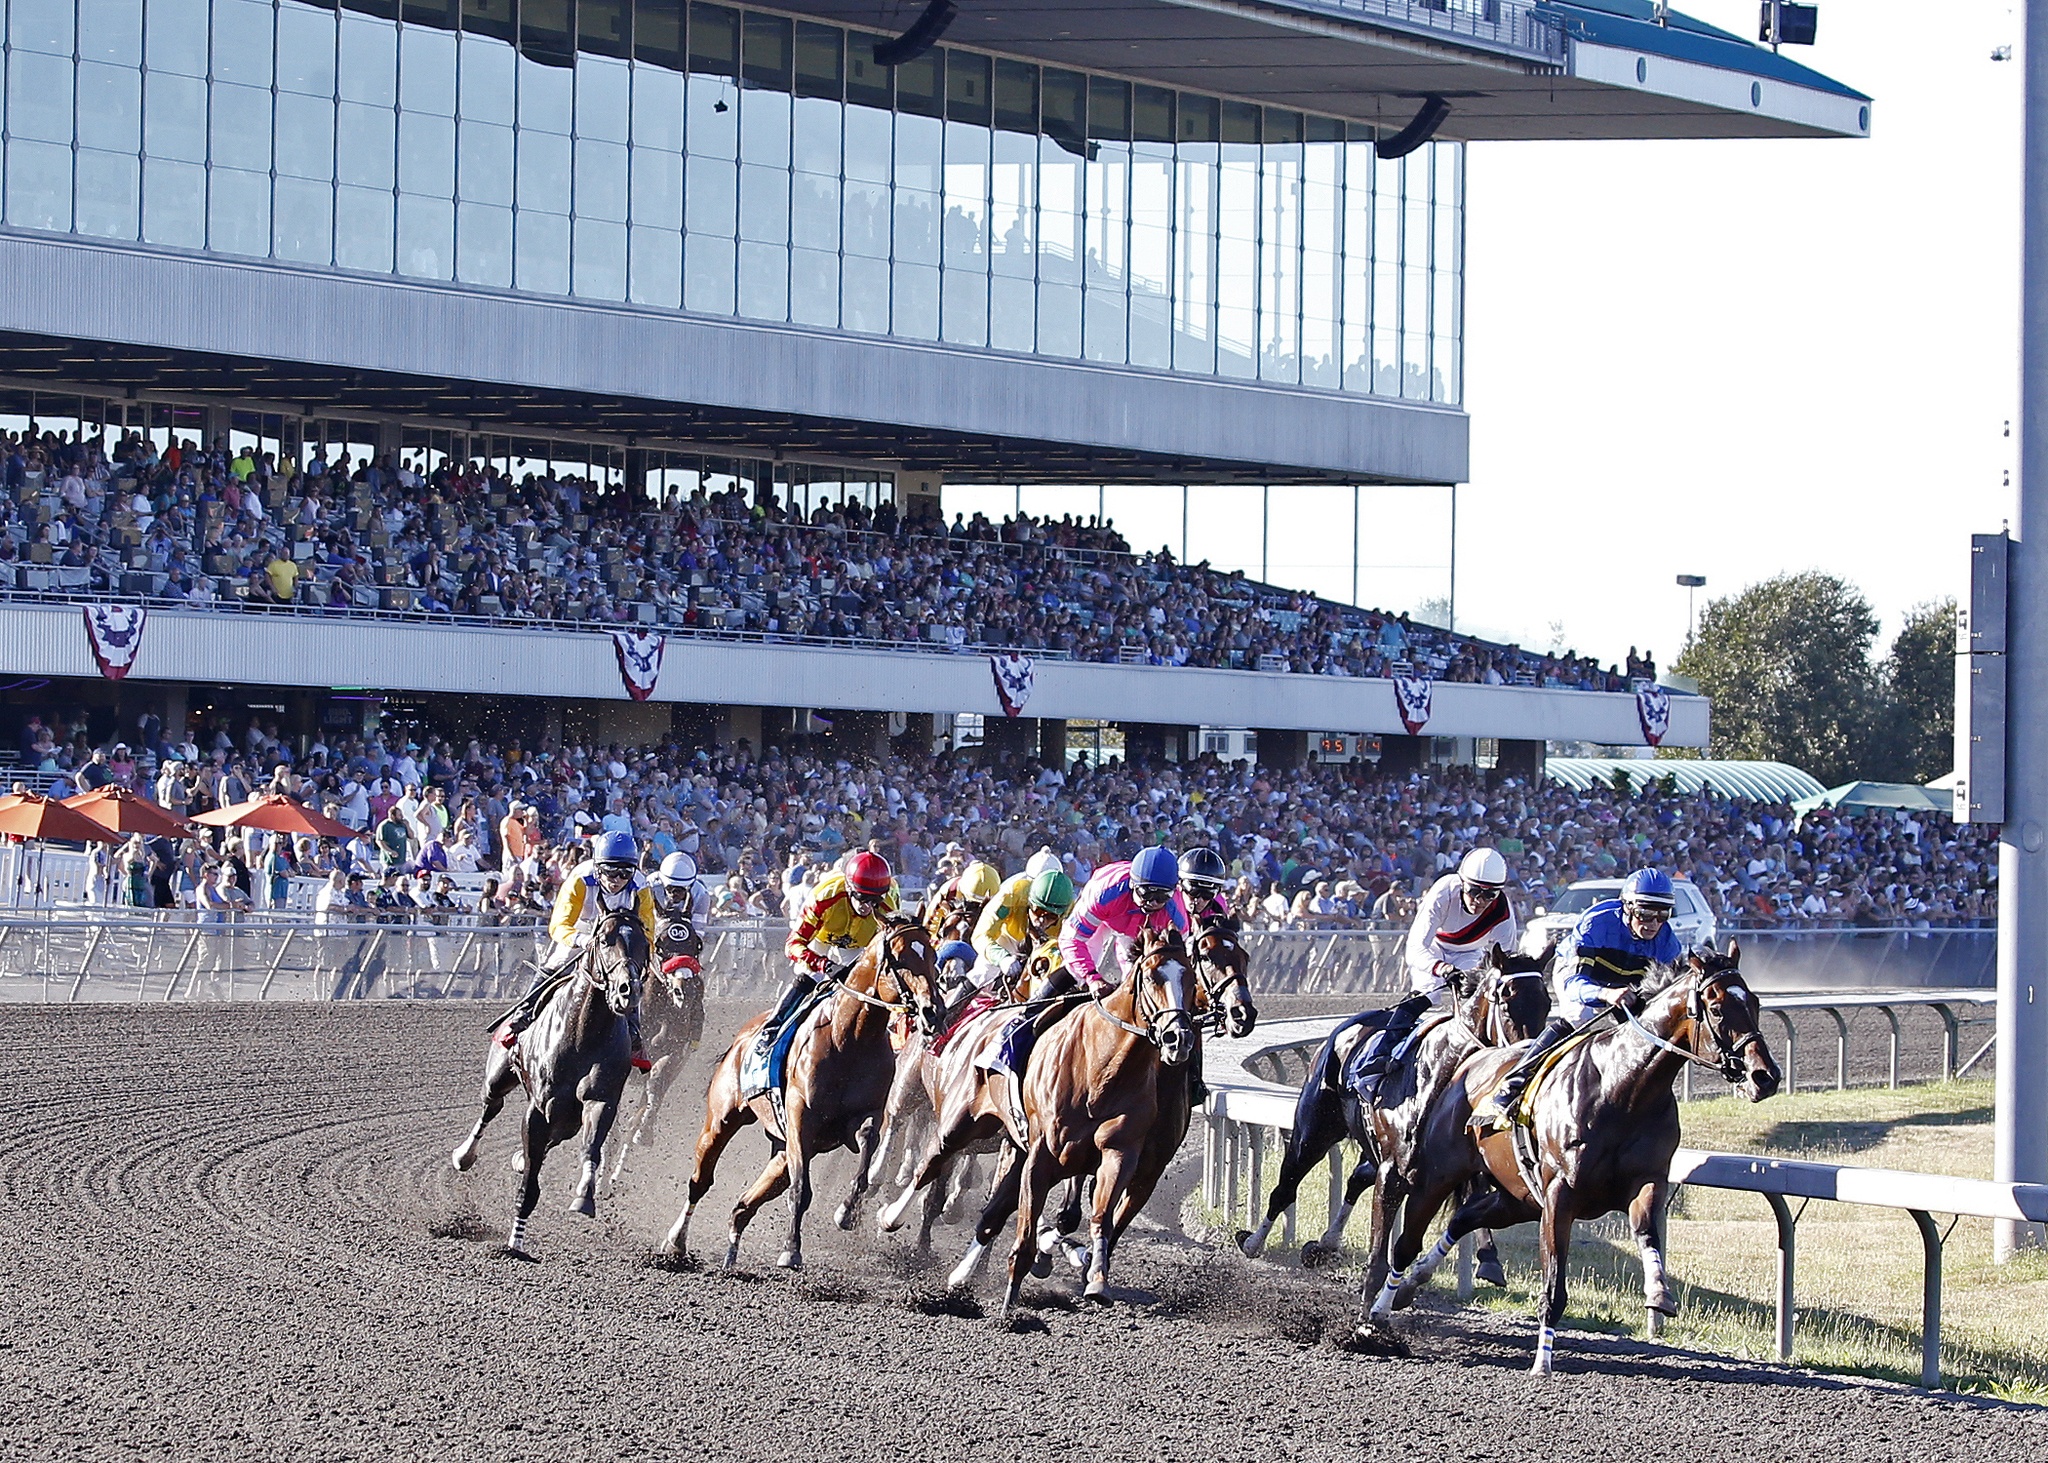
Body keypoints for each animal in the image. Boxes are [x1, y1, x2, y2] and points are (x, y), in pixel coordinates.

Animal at [454, 905, 647, 1245]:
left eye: (644, 943)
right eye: (605, 940)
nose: (629, 990)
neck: (583, 1033)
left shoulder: (600, 1101)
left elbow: (591, 1147)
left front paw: (584, 1196)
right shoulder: (539, 1110)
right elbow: (530, 1182)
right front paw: (515, 1241)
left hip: (567, 1119)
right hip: (499, 1077)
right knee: (491, 1106)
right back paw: (465, 1155)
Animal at [659, 909, 937, 1262]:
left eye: (932, 956)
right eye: (899, 958)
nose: (933, 1011)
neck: (850, 1039)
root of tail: (742, 1038)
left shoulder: (864, 1116)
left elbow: (864, 1153)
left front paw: (847, 1212)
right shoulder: (801, 1121)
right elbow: (802, 1190)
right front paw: (791, 1251)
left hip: (782, 1147)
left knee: (745, 1205)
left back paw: (731, 1253)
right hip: (723, 1120)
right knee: (701, 1181)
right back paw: (676, 1240)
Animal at [946, 922, 1212, 1311]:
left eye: (1191, 977)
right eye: (1151, 977)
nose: (1177, 1038)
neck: (1103, 1068)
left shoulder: (1125, 1156)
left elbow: (1102, 1217)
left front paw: (1096, 1278)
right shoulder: (1044, 1153)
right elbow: (1028, 1228)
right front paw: (1009, 1303)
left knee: (998, 1208)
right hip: (974, 1125)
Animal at [1359, 938, 1777, 1376]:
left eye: (1755, 1002)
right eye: (1716, 1006)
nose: (1765, 1076)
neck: (1623, 1088)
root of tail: (1470, 1062)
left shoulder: (1647, 1181)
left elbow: (1648, 1233)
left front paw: (1659, 1294)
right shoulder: (1560, 1196)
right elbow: (1554, 1285)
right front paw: (1542, 1361)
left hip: (1518, 1198)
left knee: (1464, 1217)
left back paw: (1414, 1283)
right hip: (1438, 1176)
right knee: (1404, 1244)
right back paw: (1376, 1314)